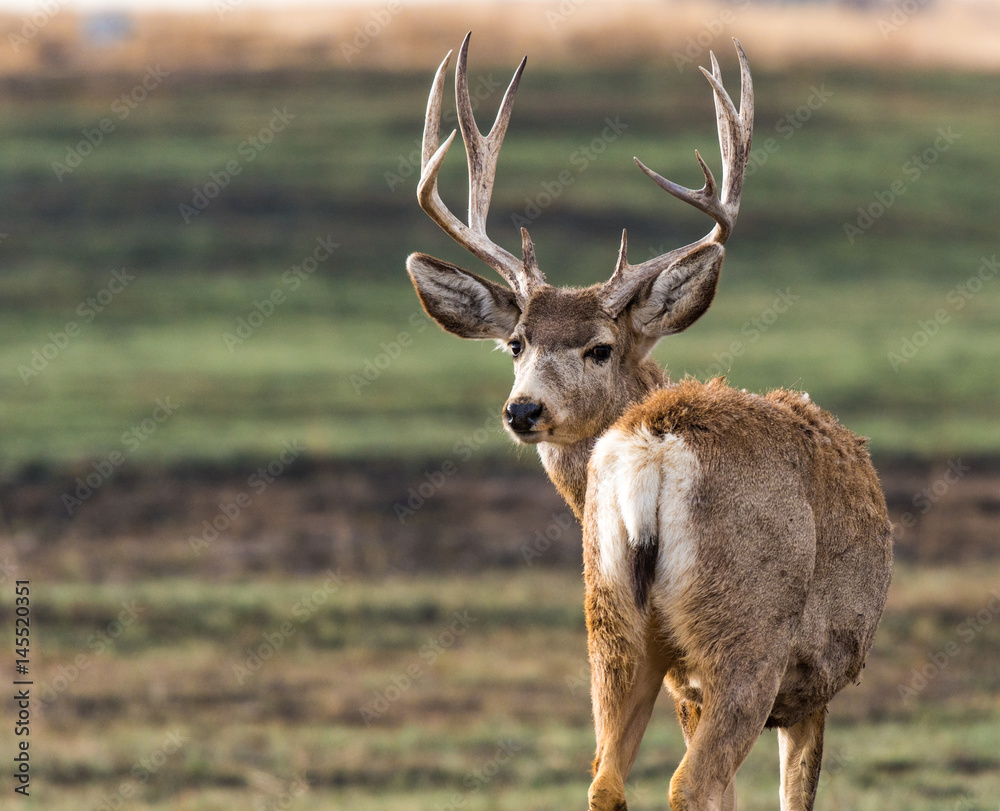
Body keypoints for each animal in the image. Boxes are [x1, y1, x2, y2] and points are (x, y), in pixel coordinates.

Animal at [405, 33, 892, 811]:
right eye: (516, 343)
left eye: (599, 347)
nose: (523, 409)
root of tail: (656, 446)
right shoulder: (814, 681)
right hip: (746, 635)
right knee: (693, 781)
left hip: (610, 622)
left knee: (605, 780)